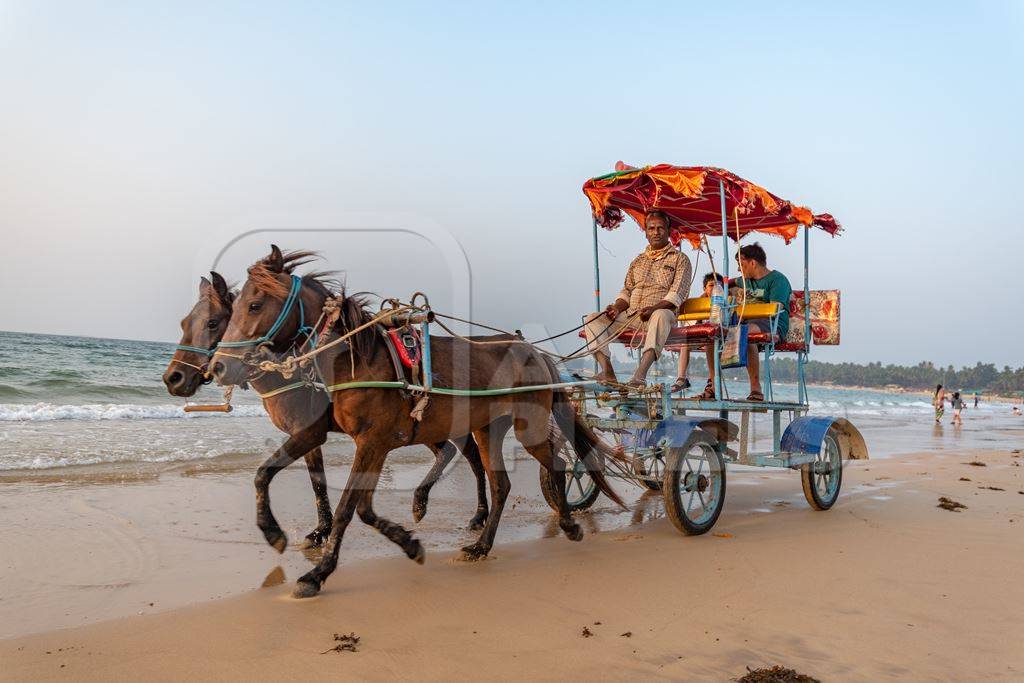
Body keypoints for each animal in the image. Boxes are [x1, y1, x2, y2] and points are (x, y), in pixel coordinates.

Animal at [162, 259, 487, 548]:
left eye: (213, 322)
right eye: (184, 323)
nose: (173, 378)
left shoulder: (312, 431)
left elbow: (275, 474)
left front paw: (298, 532)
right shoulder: (310, 435)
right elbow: (316, 481)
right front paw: (321, 531)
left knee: (468, 456)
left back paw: (471, 514)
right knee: (455, 452)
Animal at [211, 245, 618, 598]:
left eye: (254, 304)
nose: (219, 367)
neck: (357, 360)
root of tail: (533, 350)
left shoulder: (371, 442)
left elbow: (347, 510)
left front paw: (317, 573)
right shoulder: (350, 439)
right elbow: (293, 483)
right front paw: (406, 542)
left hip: (527, 425)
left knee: (558, 464)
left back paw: (568, 524)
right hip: (487, 428)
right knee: (500, 483)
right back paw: (481, 546)